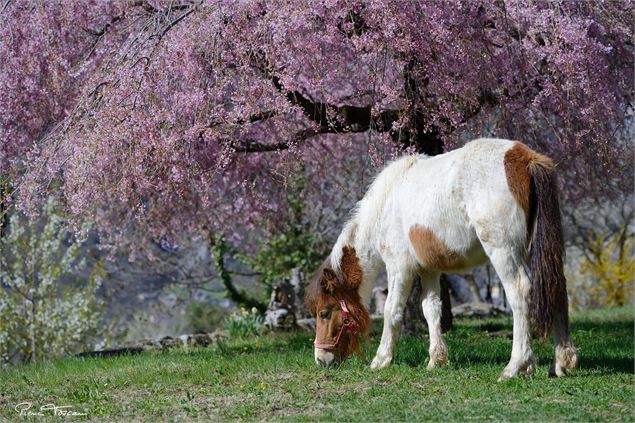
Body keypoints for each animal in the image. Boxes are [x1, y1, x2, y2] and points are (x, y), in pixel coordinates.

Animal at [306, 138, 580, 380]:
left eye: (324, 313)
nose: (320, 360)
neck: (386, 205)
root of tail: (524, 158)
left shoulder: (399, 268)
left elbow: (391, 310)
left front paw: (381, 359)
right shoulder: (429, 270)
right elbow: (431, 310)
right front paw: (436, 360)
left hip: (504, 251)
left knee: (520, 293)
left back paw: (515, 366)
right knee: (556, 287)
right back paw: (560, 364)